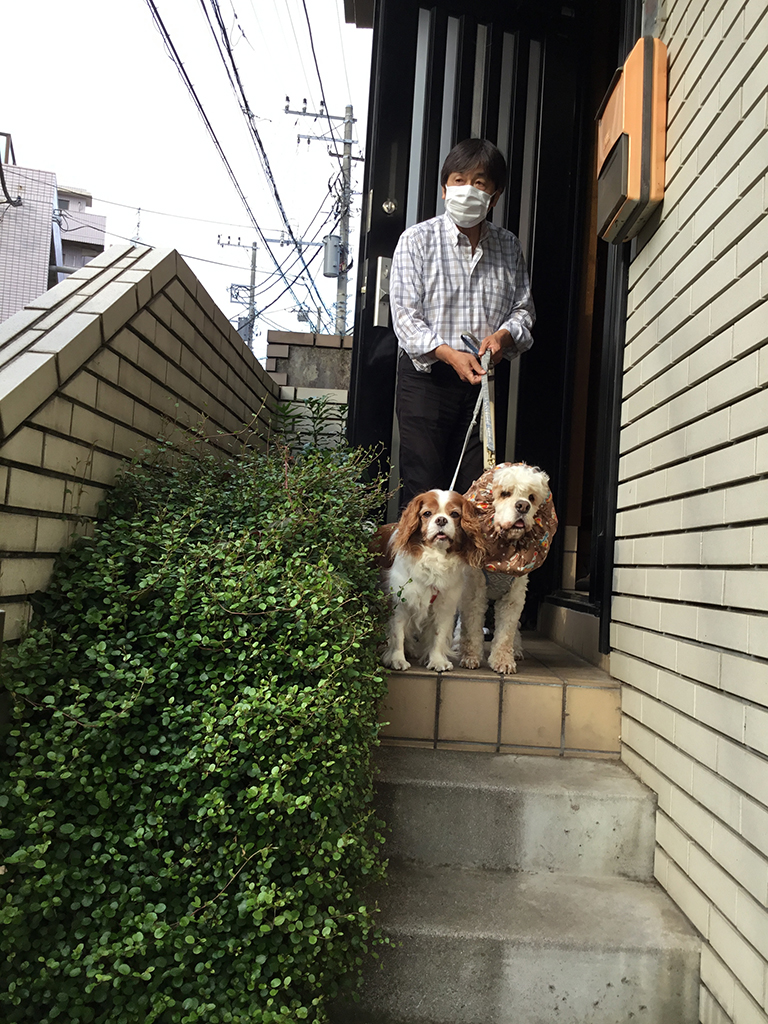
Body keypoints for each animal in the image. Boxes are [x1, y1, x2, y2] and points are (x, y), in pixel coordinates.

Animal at [385, 487, 487, 671]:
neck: (435, 557)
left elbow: (438, 635)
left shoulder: (444, 605)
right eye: (427, 513)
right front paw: (397, 659)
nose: (441, 520)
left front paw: (437, 661)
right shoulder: (400, 602)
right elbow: (398, 634)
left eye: (454, 514)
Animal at [456, 462, 561, 671]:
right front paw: (470, 657)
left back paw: (517, 650)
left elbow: (506, 633)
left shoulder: (514, 597)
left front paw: (503, 661)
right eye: (505, 493)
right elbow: (471, 628)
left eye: (531, 497)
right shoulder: (473, 594)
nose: (523, 506)